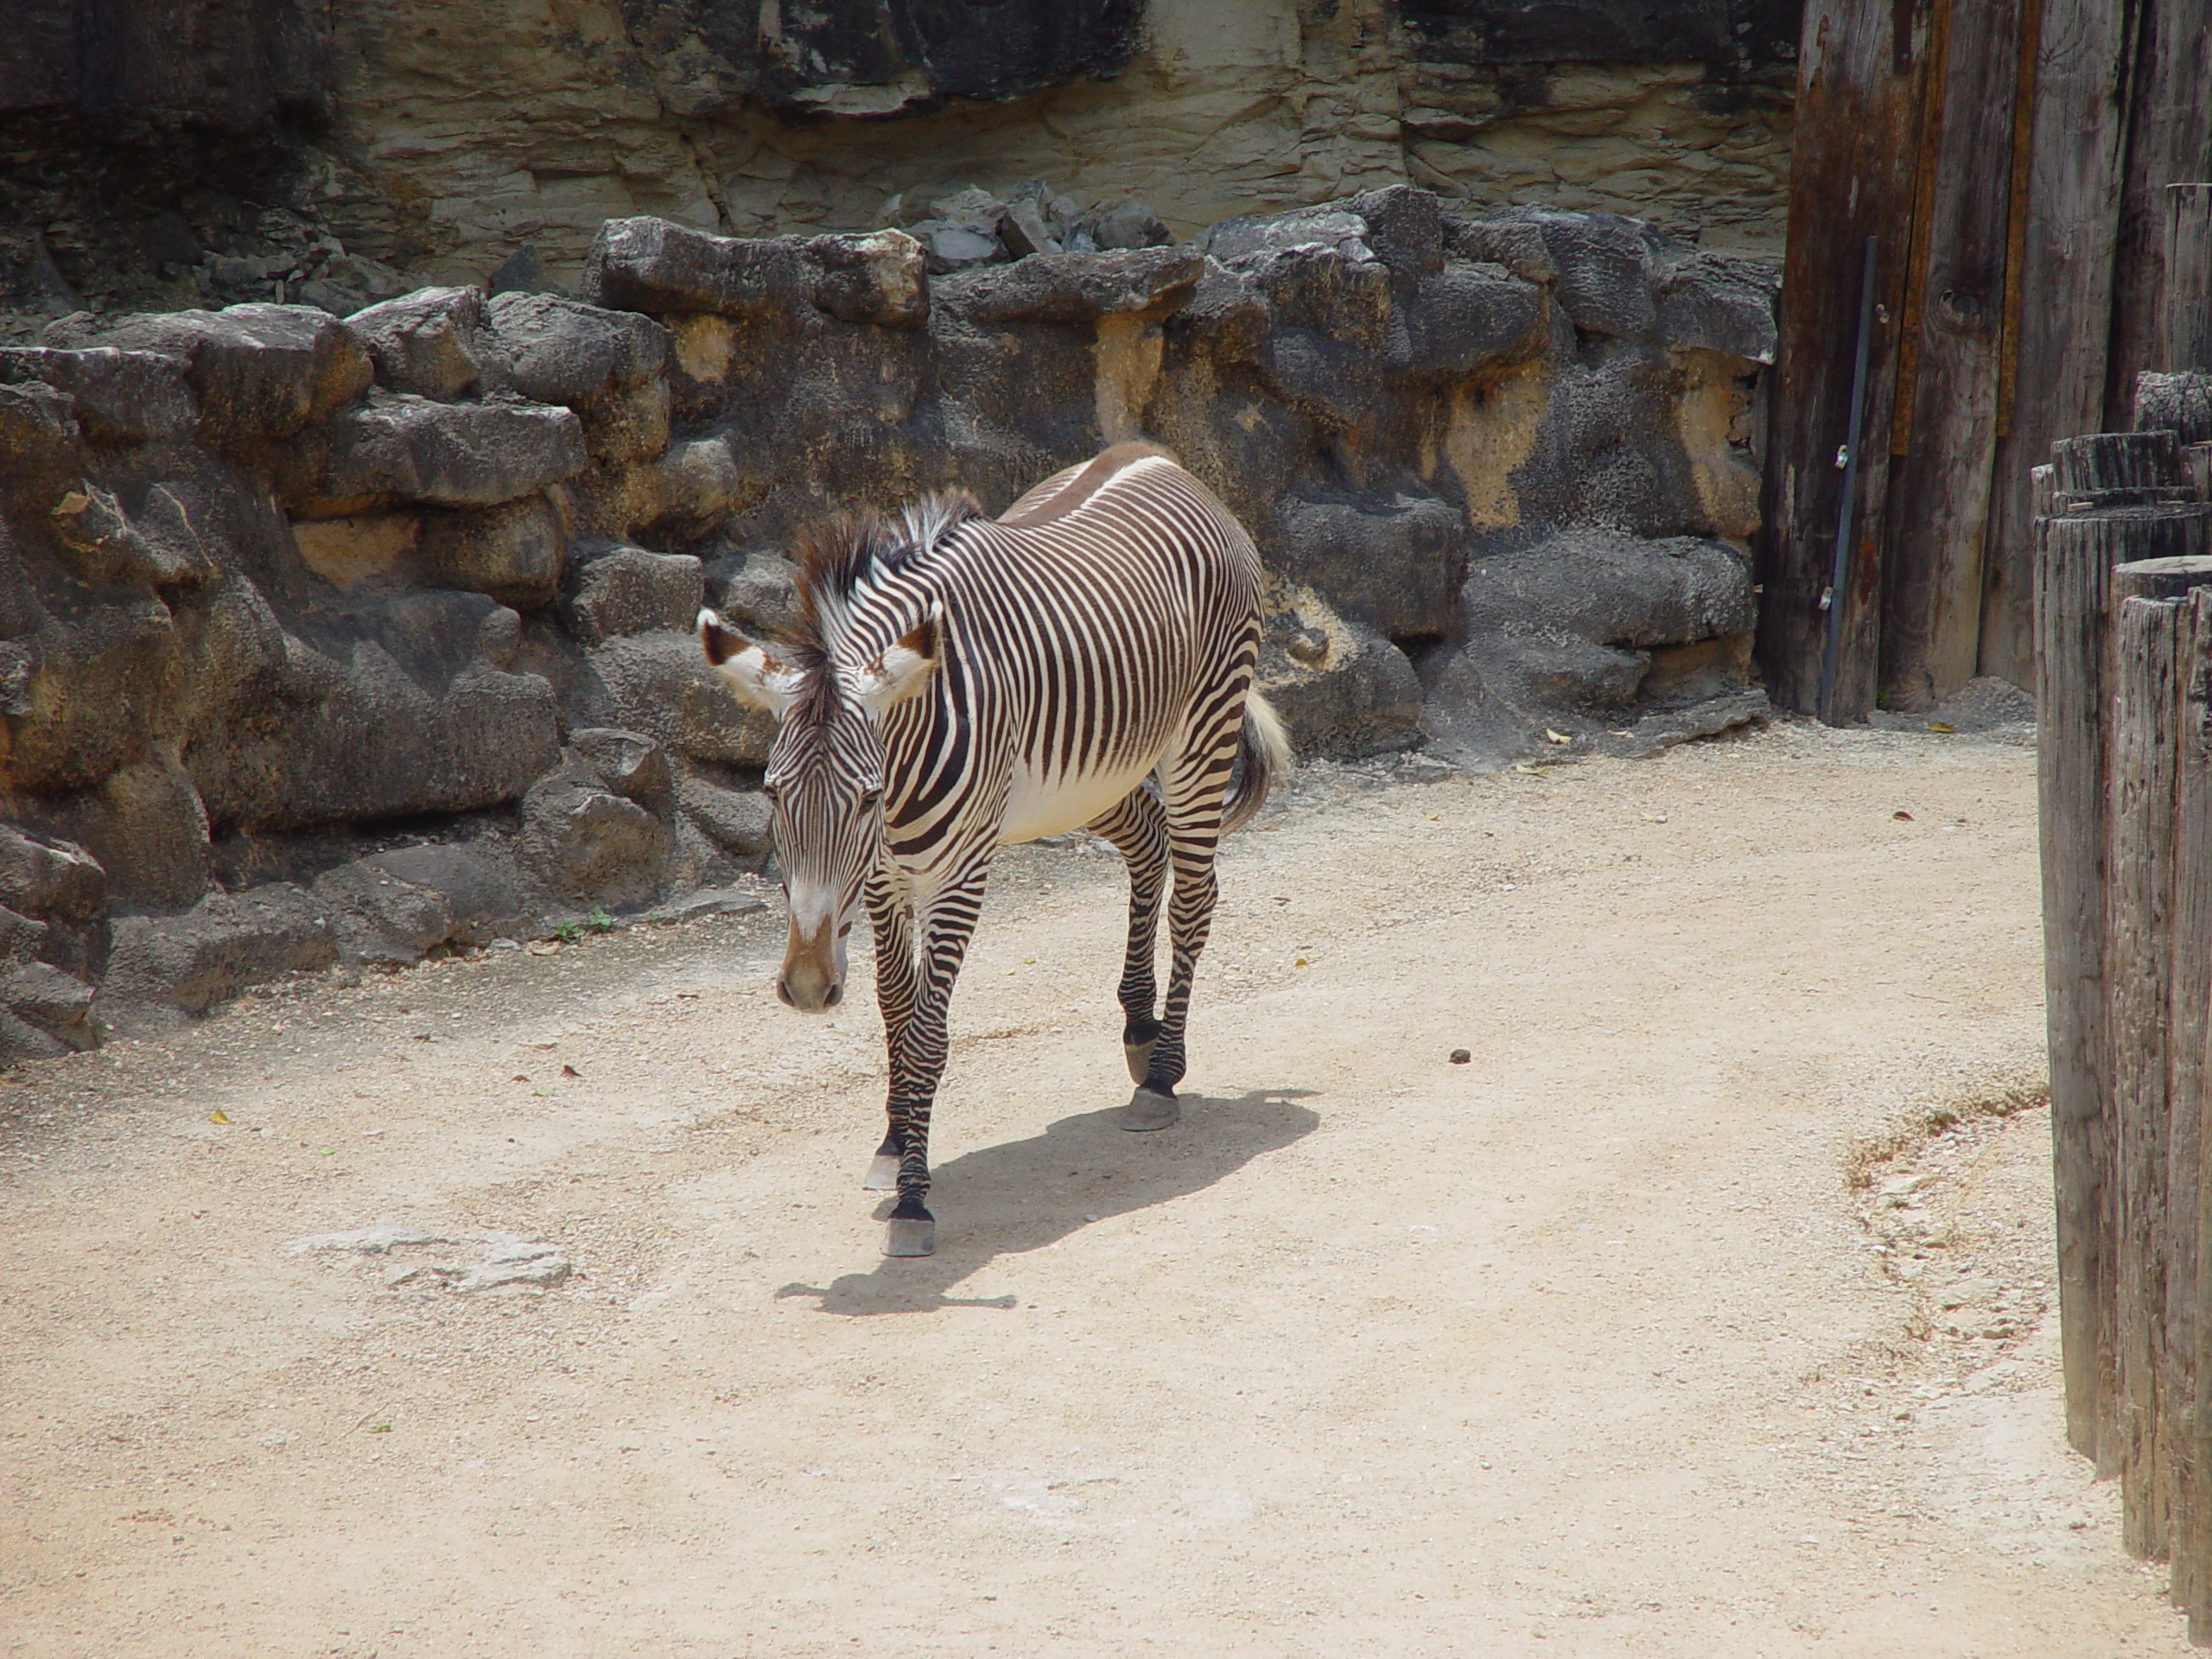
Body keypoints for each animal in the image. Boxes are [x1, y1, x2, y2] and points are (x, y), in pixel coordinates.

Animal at [698, 444, 1292, 1256]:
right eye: (771, 792)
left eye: (867, 798)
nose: (811, 989)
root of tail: (1159, 459)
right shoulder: (882, 880)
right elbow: (894, 1007)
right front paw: (893, 1143)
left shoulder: (957, 873)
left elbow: (927, 1032)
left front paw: (914, 1199)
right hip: (1088, 780)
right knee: (1148, 843)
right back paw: (1140, 1031)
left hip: (1202, 730)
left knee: (1196, 896)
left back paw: (1162, 1073)